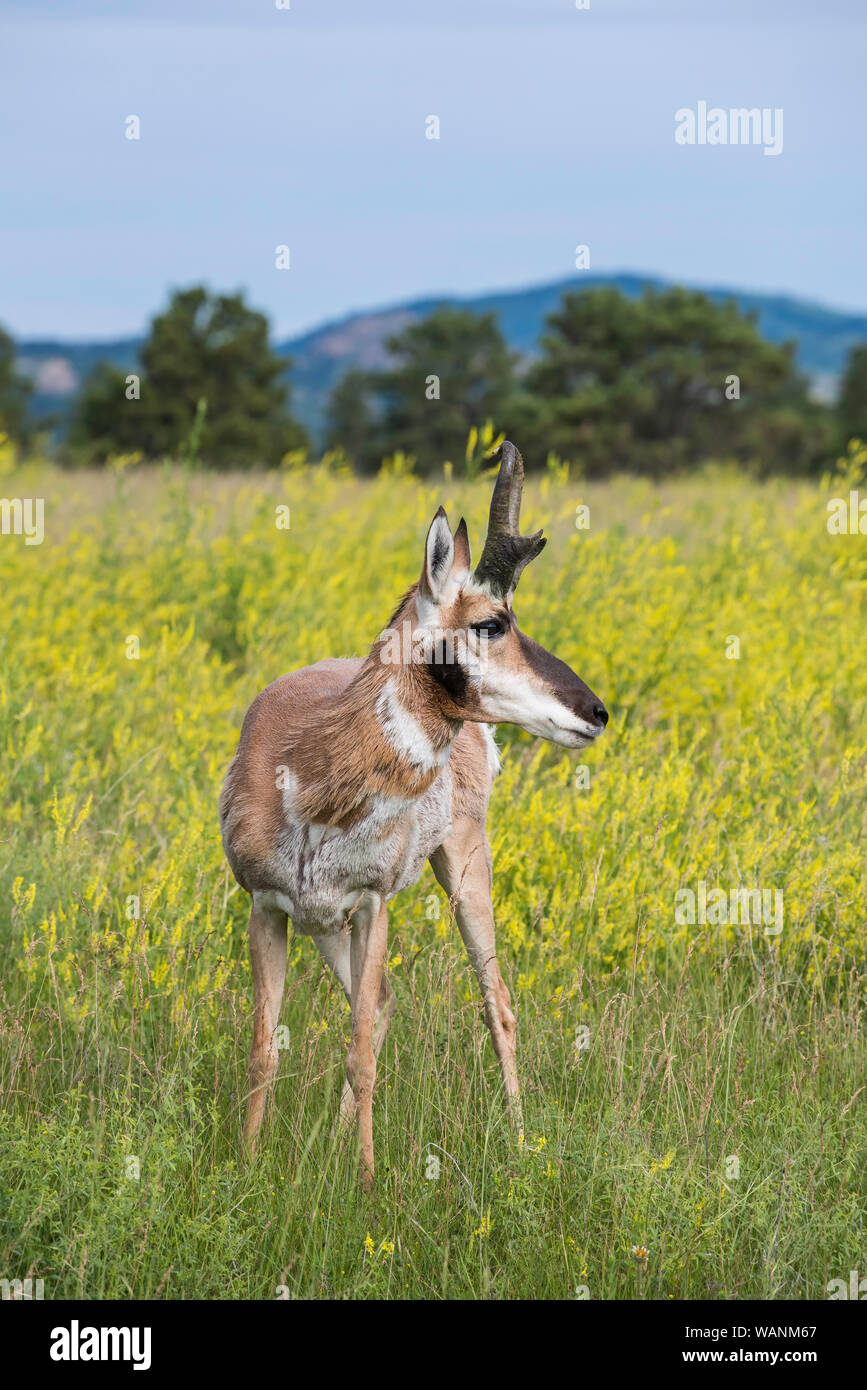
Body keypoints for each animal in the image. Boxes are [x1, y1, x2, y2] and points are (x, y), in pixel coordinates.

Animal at [219, 442, 608, 1190]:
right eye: (492, 622)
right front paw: (248, 1166)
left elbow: (359, 1055)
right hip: (327, 924)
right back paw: (337, 1140)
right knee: (381, 1005)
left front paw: (367, 1183)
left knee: (496, 1004)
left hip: (461, 863)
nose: (597, 711)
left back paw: (520, 1145)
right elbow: (263, 1050)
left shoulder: (374, 904)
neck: (310, 773)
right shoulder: (269, 907)